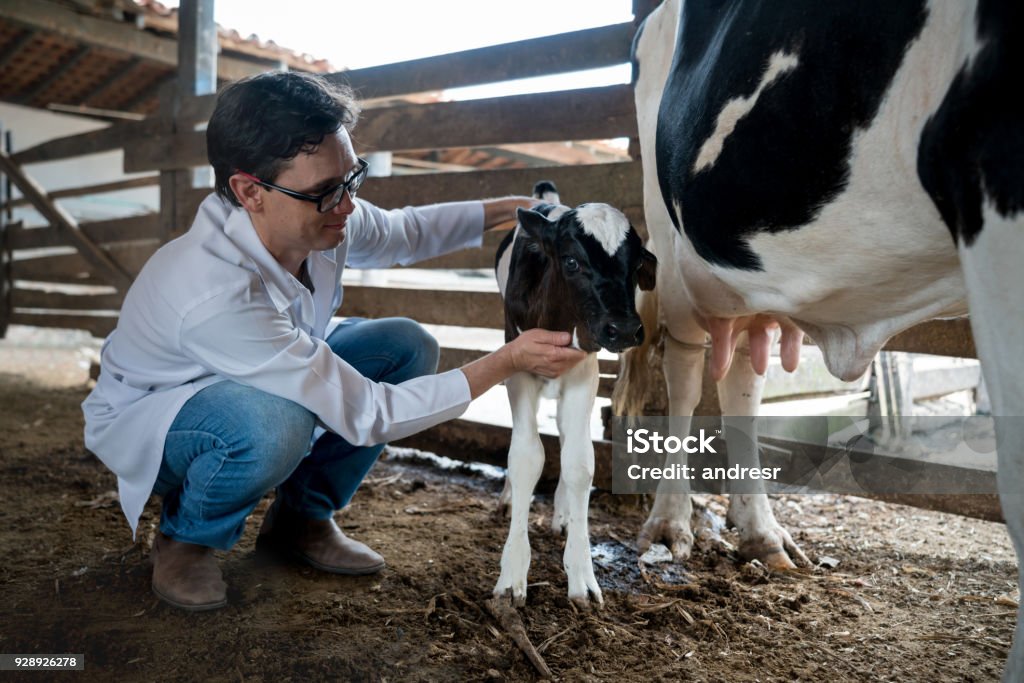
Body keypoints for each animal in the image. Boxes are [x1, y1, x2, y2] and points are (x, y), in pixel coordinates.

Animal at [493, 183, 655, 602]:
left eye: (636, 266)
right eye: (571, 262)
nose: (625, 329)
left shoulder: (585, 370)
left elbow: (580, 463)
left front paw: (582, 574)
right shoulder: (518, 366)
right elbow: (526, 456)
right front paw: (513, 572)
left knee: (568, 440)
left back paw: (563, 514)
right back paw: (508, 499)